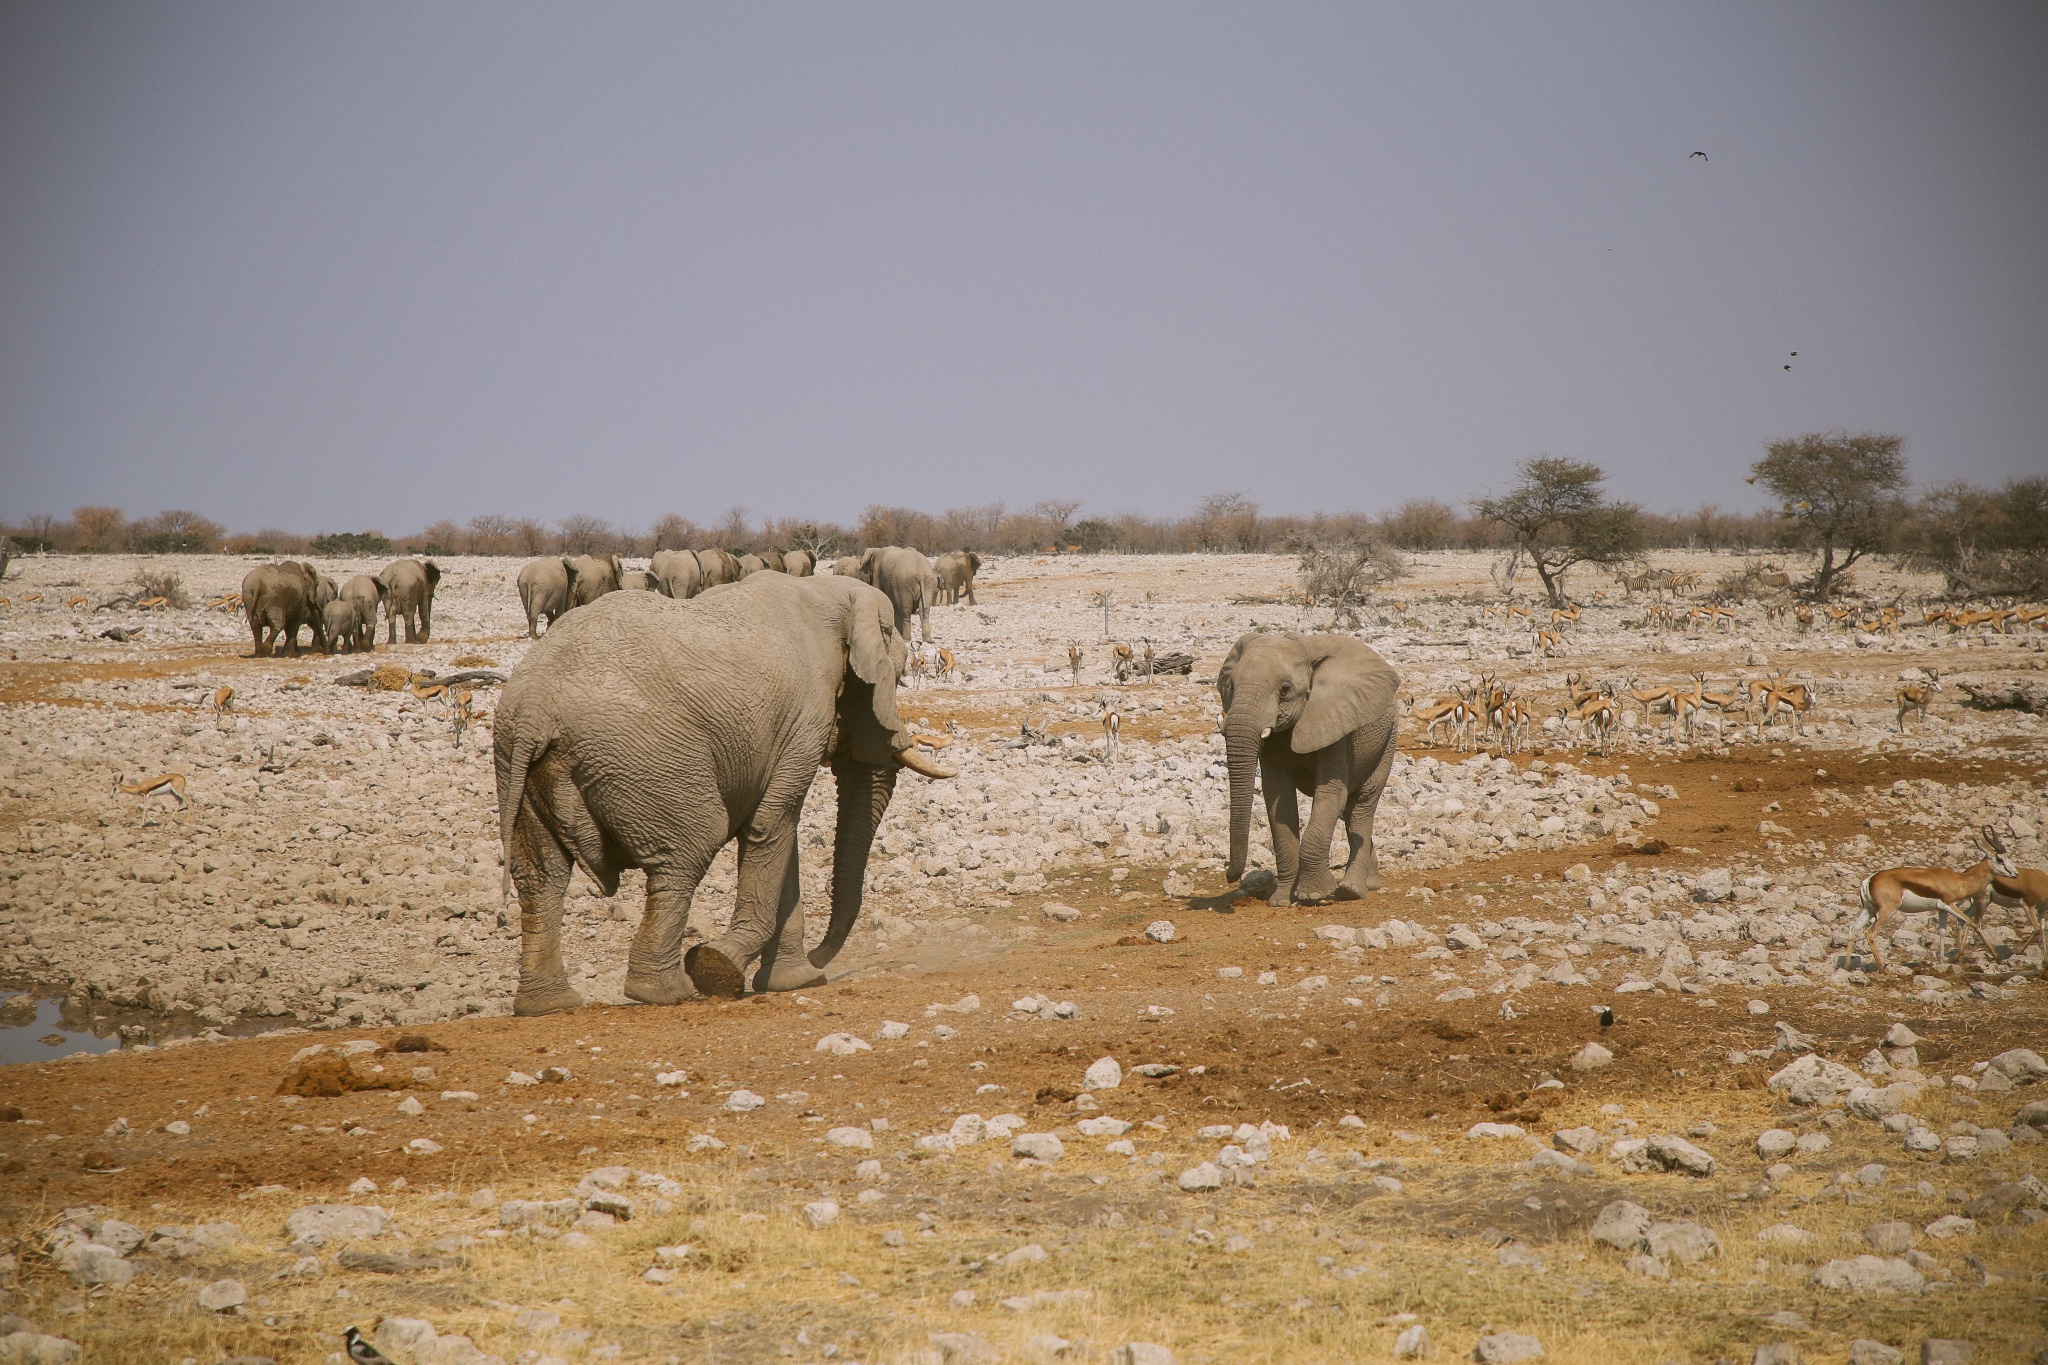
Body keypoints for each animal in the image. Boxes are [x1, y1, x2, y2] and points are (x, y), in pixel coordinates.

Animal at [495, 568, 950, 1015]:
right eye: (896, 675)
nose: (822, 960)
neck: (833, 592)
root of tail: (534, 707)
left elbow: (778, 831)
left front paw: (794, 981)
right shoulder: (806, 713)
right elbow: (773, 823)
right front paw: (720, 966)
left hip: (517, 763)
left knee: (541, 878)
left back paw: (549, 1005)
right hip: (646, 759)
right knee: (688, 850)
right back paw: (664, 992)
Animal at [1212, 630, 1409, 908]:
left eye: (1285, 690)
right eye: (1231, 686)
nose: (1230, 876)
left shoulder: (1335, 721)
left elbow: (1330, 794)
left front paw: (1314, 896)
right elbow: (1278, 799)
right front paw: (1282, 901)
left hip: (1389, 737)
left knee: (1362, 806)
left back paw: (1352, 889)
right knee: (1349, 812)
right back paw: (1369, 884)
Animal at [1859, 822, 2015, 970]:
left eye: (2008, 857)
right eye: (2000, 859)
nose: (2015, 873)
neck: (1961, 880)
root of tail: (1870, 880)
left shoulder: (1941, 909)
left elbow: (1942, 932)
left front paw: (1941, 962)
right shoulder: (1948, 904)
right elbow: (1972, 923)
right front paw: (1997, 957)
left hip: (1871, 910)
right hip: (1888, 910)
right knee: (1870, 933)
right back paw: (1882, 969)